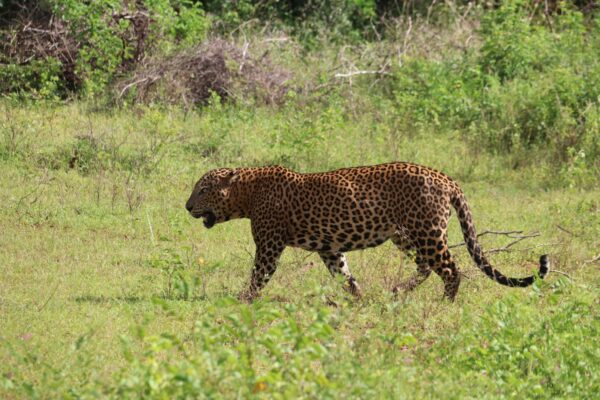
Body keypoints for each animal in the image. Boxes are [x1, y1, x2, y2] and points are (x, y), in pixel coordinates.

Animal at [186, 161, 548, 302]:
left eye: (202, 190)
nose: (187, 206)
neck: (246, 194)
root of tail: (446, 178)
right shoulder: (329, 248)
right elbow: (343, 273)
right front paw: (358, 298)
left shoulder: (269, 245)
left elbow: (258, 275)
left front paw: (241, 300)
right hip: (406, 235)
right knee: (425, 266)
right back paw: (397, 291)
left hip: (428, 232)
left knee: (450, 268)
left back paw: (446, 302)